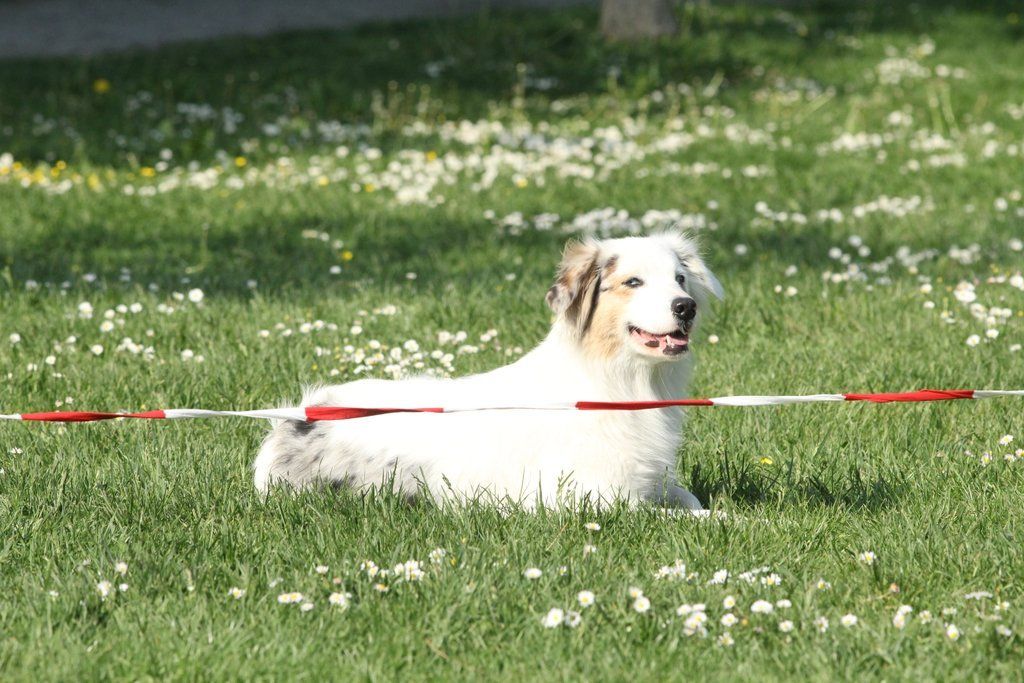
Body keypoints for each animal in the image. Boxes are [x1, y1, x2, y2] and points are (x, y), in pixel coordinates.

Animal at [253, 230, 722, 509]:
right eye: (633, 282)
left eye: (680, 279)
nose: (687, 307)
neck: (617, 382)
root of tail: (300, 415)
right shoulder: (599, 498)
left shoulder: (652, 481)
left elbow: (692, 500)